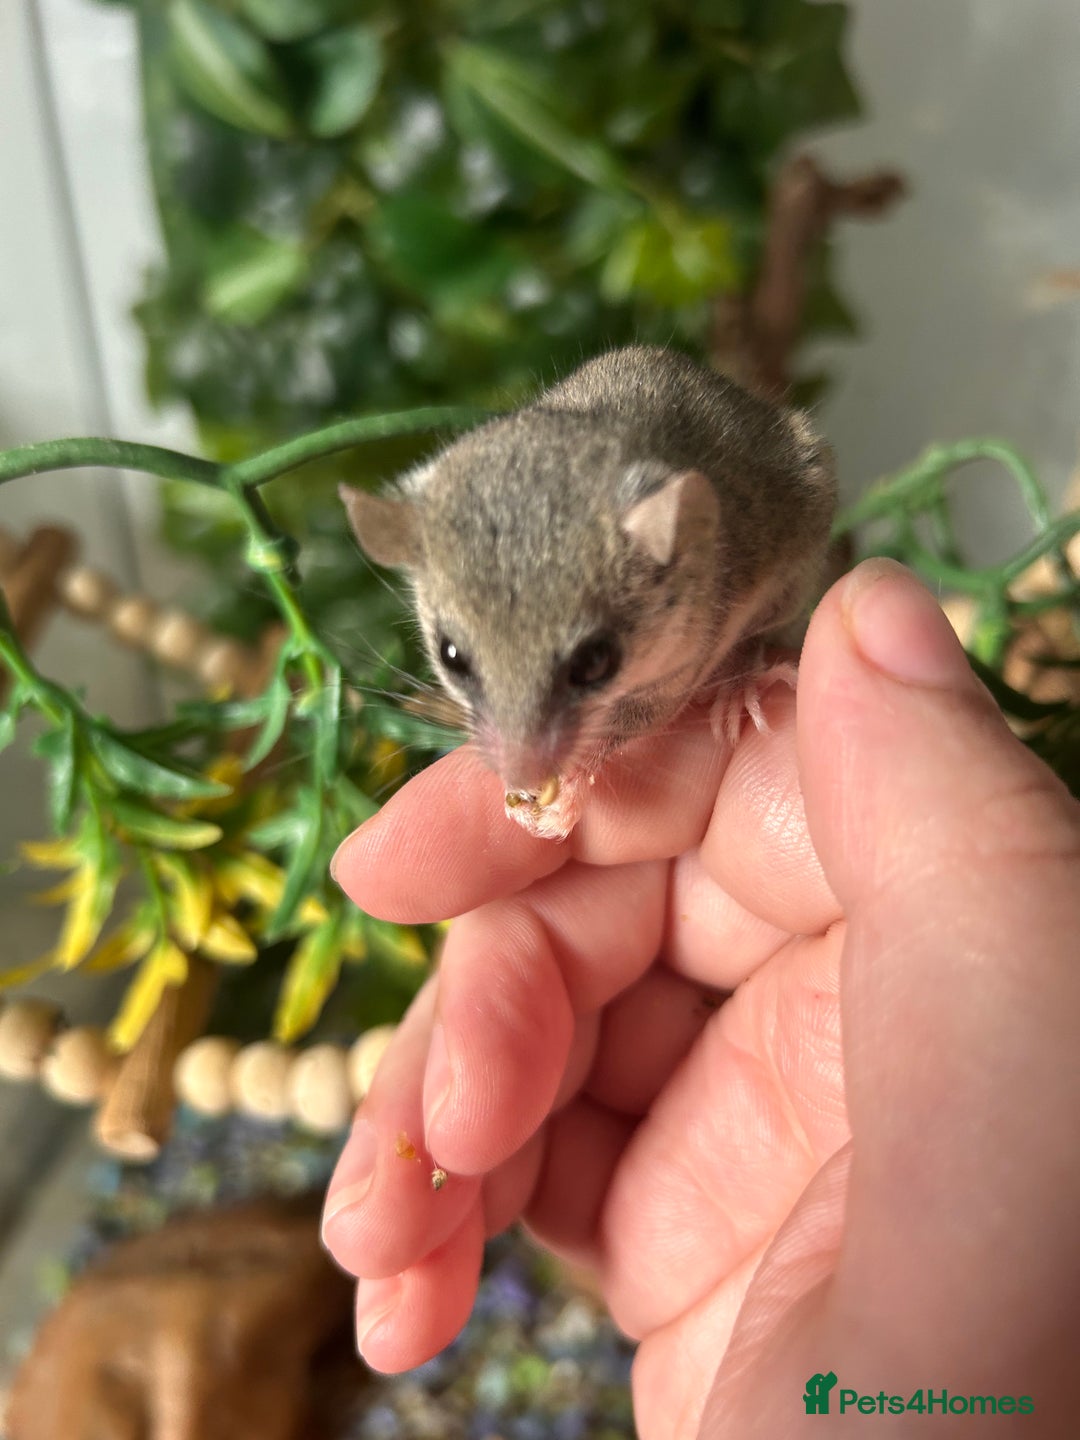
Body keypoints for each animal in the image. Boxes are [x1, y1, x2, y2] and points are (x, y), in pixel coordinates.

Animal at [341, 345, 836, 839]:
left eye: (596, 662)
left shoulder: (680, 669)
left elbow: (625, 728)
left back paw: (740, 687)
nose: (523, 777)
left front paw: (568, 797)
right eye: (450, 656)